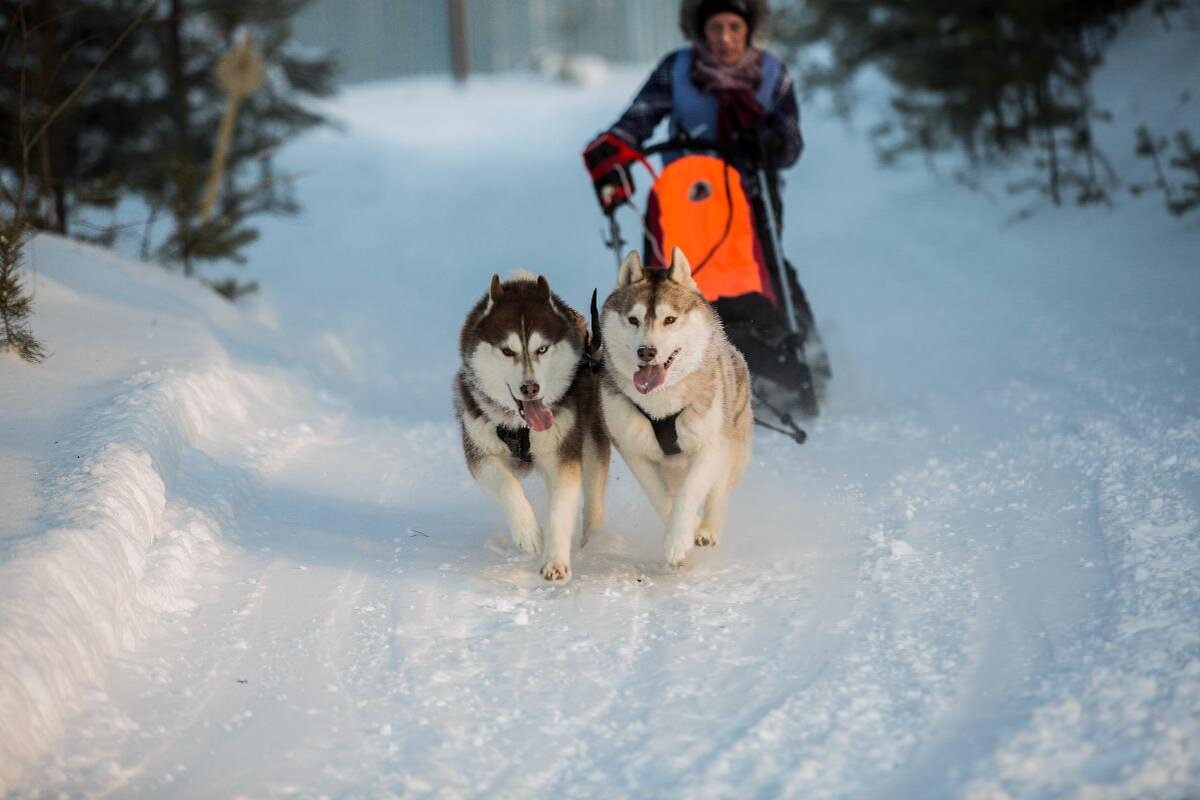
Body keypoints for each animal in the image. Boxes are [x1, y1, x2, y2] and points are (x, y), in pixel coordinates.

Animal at [451, 272, 609, 578]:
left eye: (542, 348)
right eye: (507, 351)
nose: (530, 388)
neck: (521, 426)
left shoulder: (564, 453)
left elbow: (561, 507)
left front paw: (556, 561)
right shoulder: (480, 450)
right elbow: (507, 484)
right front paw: (528, 532)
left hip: (592, 435)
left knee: (594, 497)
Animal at [597, 247, 753, 566]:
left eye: (669, 320)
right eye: (633, 320)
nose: (646, 351)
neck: (661, 404)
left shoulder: (709, 445)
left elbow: (690, 492)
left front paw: (680, 538)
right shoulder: (634, 449)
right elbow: (662, 496)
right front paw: (681, 537)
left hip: (732, 439)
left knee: (719, 491)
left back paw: (707, 529)